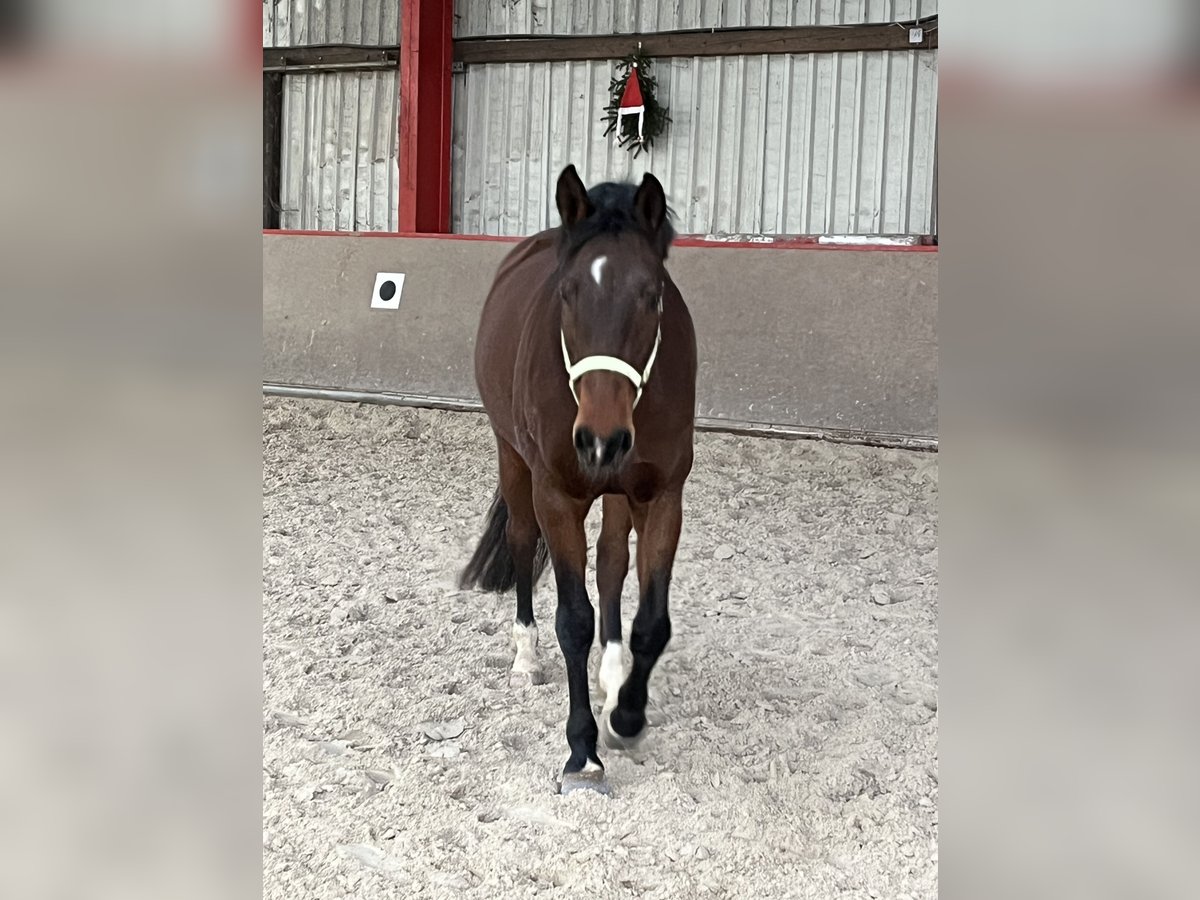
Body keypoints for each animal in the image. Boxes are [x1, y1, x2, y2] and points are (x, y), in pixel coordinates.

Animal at [463, 164, 700, 796]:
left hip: (618, 492)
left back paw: (612, 674)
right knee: (522, 542)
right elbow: (573, 621)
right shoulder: (556, 496)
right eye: (567, 292)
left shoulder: (661, 497)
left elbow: (650, 621)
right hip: (513, 461)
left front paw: (627, 714)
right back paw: (525, 657)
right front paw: (583, 752)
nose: (600, 439)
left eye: (651, 293)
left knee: (613, 561)